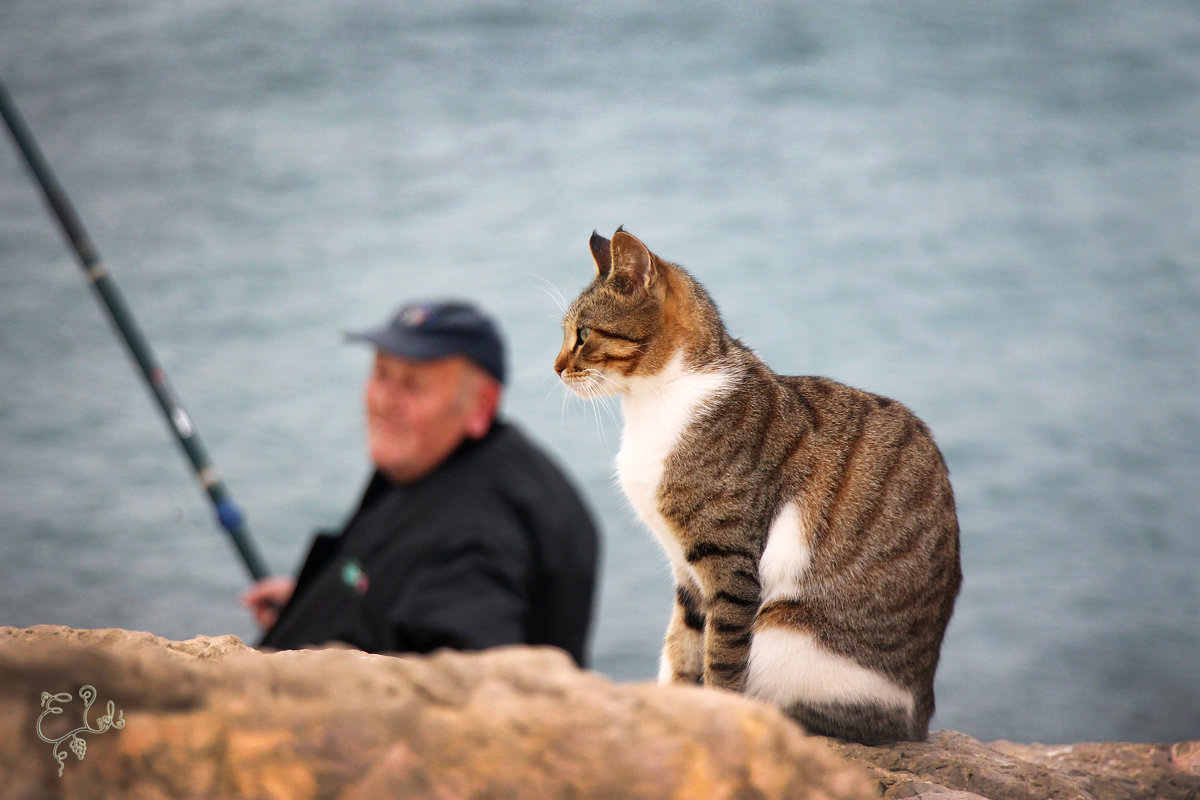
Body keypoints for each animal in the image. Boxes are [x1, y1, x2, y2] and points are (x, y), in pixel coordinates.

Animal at [554, 225, 964, 743]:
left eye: (584, 334)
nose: (555, 367)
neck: (655, 400)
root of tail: (918, 720)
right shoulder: (686, 568)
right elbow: (684, 644)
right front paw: (677, 707)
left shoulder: (728, 560)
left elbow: (721, 657)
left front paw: (719, 713)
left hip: (785, 632)